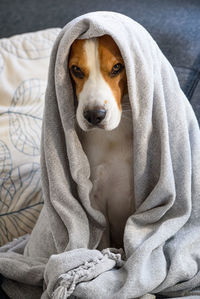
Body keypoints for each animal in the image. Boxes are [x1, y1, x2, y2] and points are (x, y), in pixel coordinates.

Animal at [68, 34, 135, 251]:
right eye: (76, 70)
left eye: (117, 67)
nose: (94, 115)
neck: (113, 137)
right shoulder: (94, 201)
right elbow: (103, 240)